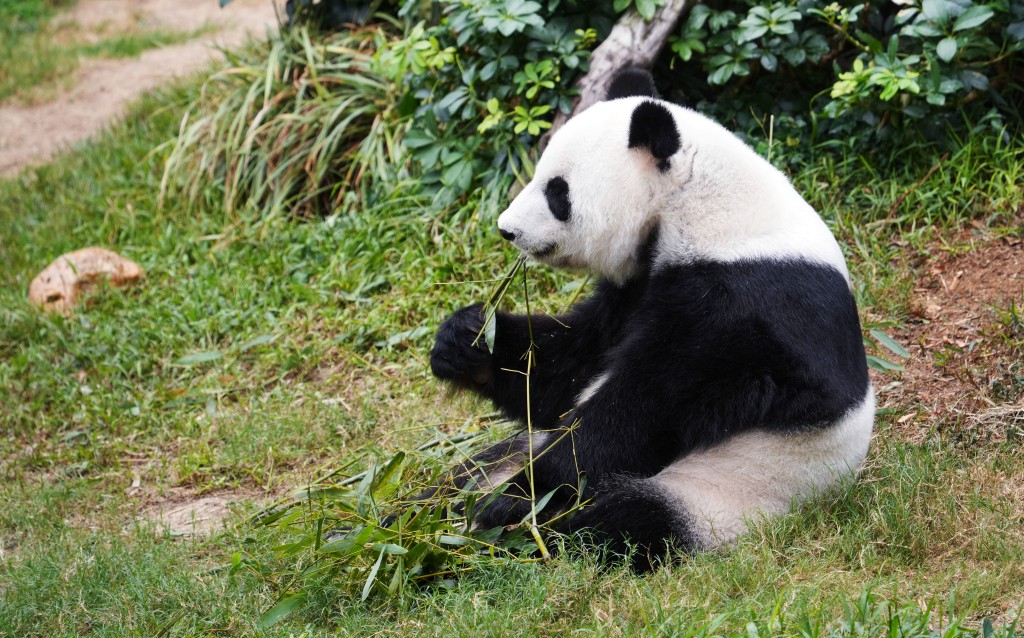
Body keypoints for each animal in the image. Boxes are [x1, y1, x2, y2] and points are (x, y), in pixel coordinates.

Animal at [425, 67, 872, 573]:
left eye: (558, 192)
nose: (507, 229)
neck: (700, 204)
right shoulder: (636, 287)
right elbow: (568, 368)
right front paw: (465, 340)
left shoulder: (741, 307)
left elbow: (639, 411)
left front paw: (516, 499)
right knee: (461, 478)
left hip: (730, 491)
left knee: (620, 524)